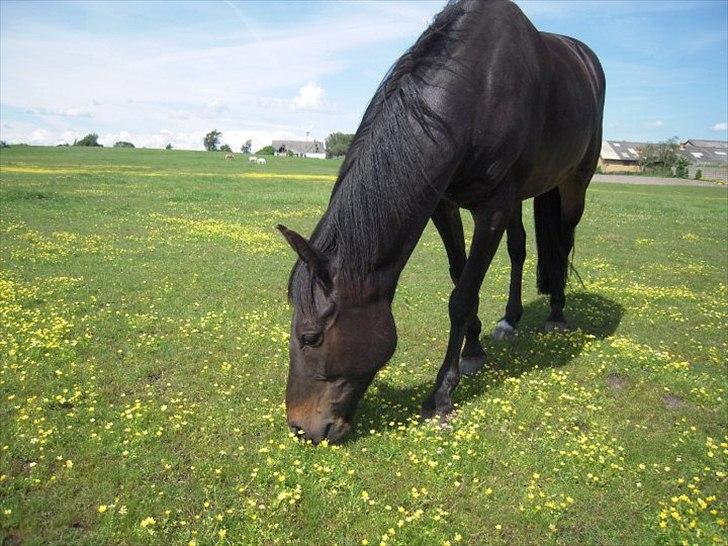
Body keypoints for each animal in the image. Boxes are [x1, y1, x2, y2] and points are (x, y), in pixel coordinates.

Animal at [276, 0, 604, 442]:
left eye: (310, 337)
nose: (299, 427)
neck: (479, 89)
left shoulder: (492, 210)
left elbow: (461, 297)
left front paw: (442, 394)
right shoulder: (443, 204)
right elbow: (458, 274)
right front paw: (475, 350)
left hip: (573, 183)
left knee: (563, 241)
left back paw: (556, 314)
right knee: (519, 248)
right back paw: (511, 319)